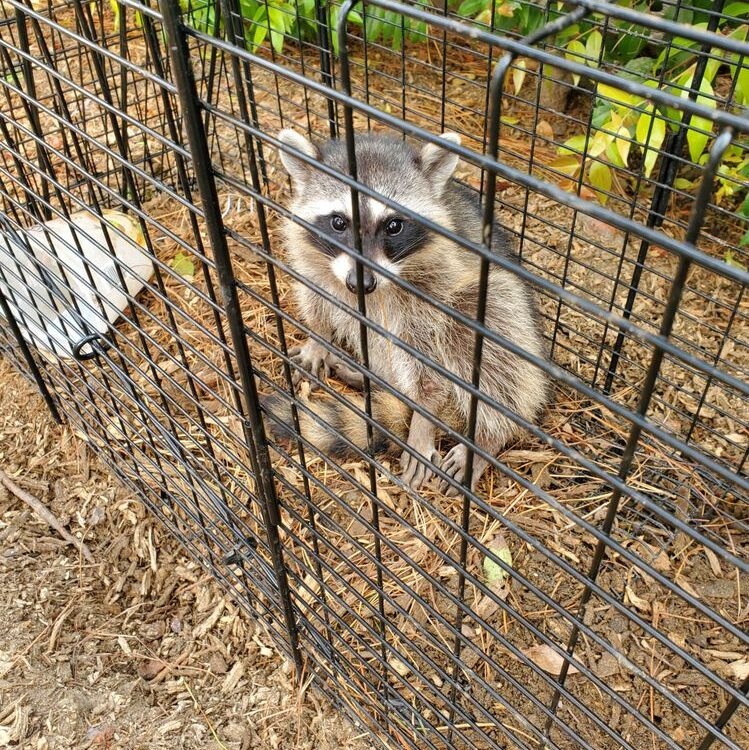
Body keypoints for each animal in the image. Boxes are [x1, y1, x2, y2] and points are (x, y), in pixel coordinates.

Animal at [266, 128, 549, 496]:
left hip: (495, 303)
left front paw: (423, 420)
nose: (361, 283)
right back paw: (372, 379)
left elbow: (431, 366)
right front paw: (318, 337)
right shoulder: (316, 260)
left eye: (394, 226)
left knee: (486, 330)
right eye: (339, 222)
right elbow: (317, 296)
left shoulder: (436, 285)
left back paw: (484, 438)